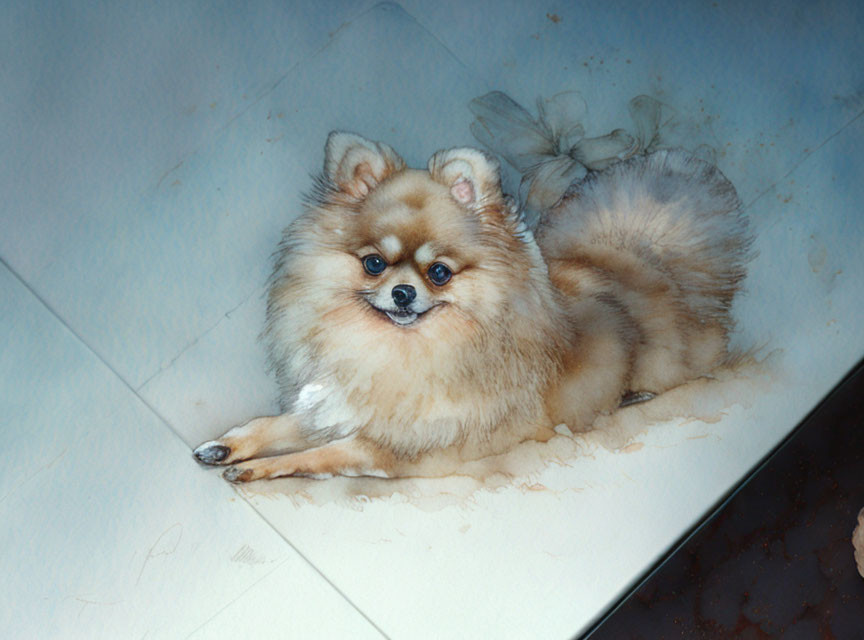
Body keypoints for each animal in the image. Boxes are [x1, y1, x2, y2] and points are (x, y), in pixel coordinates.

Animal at [194, 132, 748, 482]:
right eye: (374, 263)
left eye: (438, 272)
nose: (401, 292)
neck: (392, 350)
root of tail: (638, 260)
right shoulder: (341, 404)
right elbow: (277, 424)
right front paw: (226, 446)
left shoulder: (397, 445)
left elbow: (319, 454)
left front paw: (253, 468)